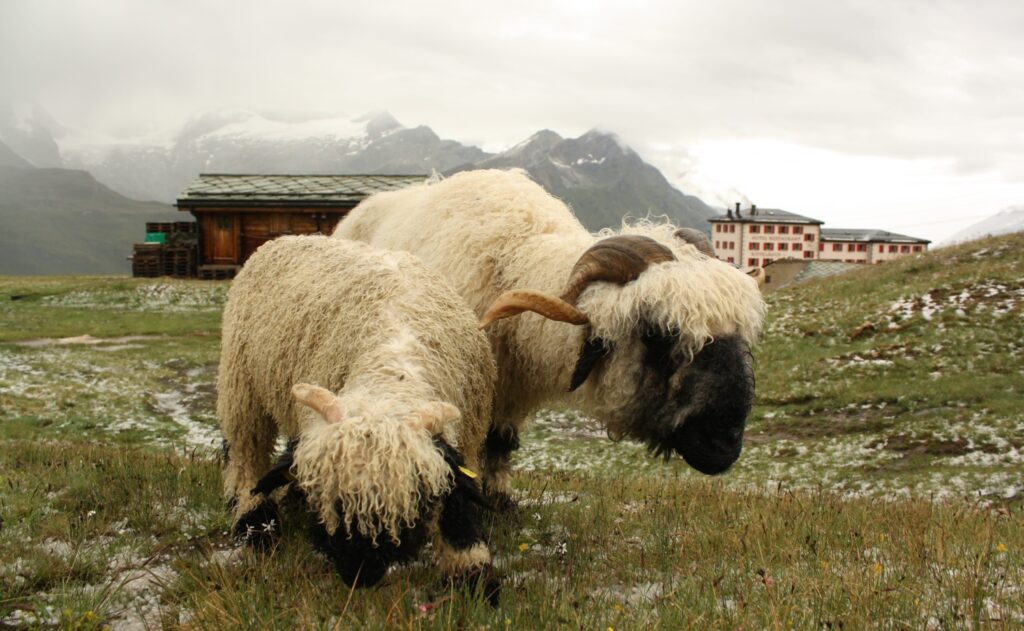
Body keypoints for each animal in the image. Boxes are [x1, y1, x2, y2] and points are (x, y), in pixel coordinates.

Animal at [220, 234, 499, 598]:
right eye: (331, 504)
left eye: (412, 503)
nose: (359, 575)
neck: (393, 366)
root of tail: (282, 238)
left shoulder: (466, 437)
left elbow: (458, 504)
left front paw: (474, 573)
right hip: (241, 384)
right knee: (245, 454)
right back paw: (254, 523)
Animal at [335, 169, 770, 508]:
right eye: (659, 333)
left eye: (740, 335)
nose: (725, 444)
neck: (515, 259)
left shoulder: (510, 390)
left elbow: (501, 442)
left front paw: (501, 498)